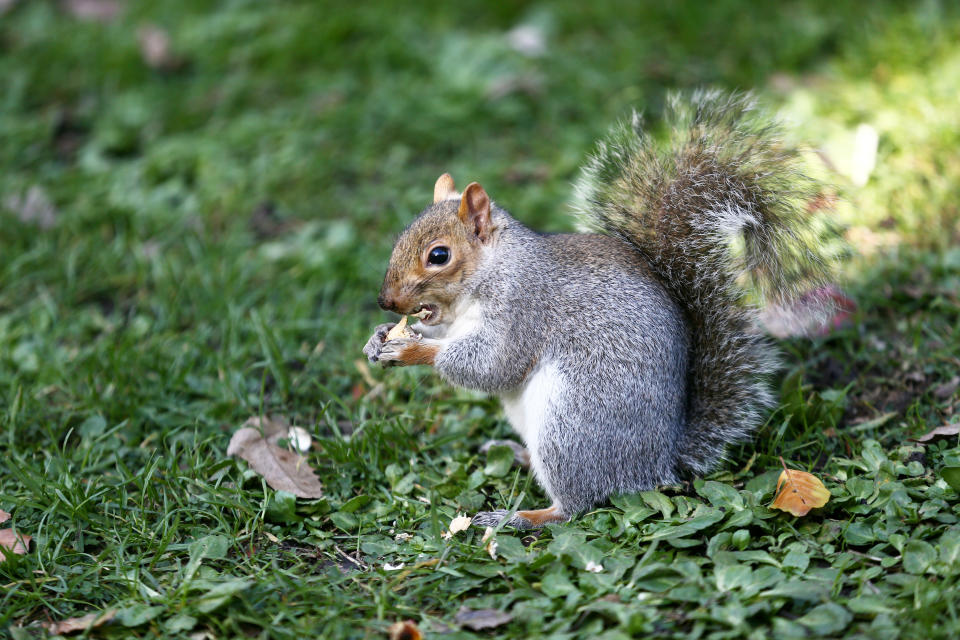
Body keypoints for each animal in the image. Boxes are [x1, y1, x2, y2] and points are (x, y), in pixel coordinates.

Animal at [360, 91, 832, 528]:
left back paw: (520, 517)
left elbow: (491, 365)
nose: (386, 300)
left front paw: (411, 351)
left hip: (571, 424)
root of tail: (658, 463)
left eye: (438, 256)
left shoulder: (523, 308)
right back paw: (514, 454)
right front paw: (379, 337)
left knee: (576, 504)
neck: (491, 271)